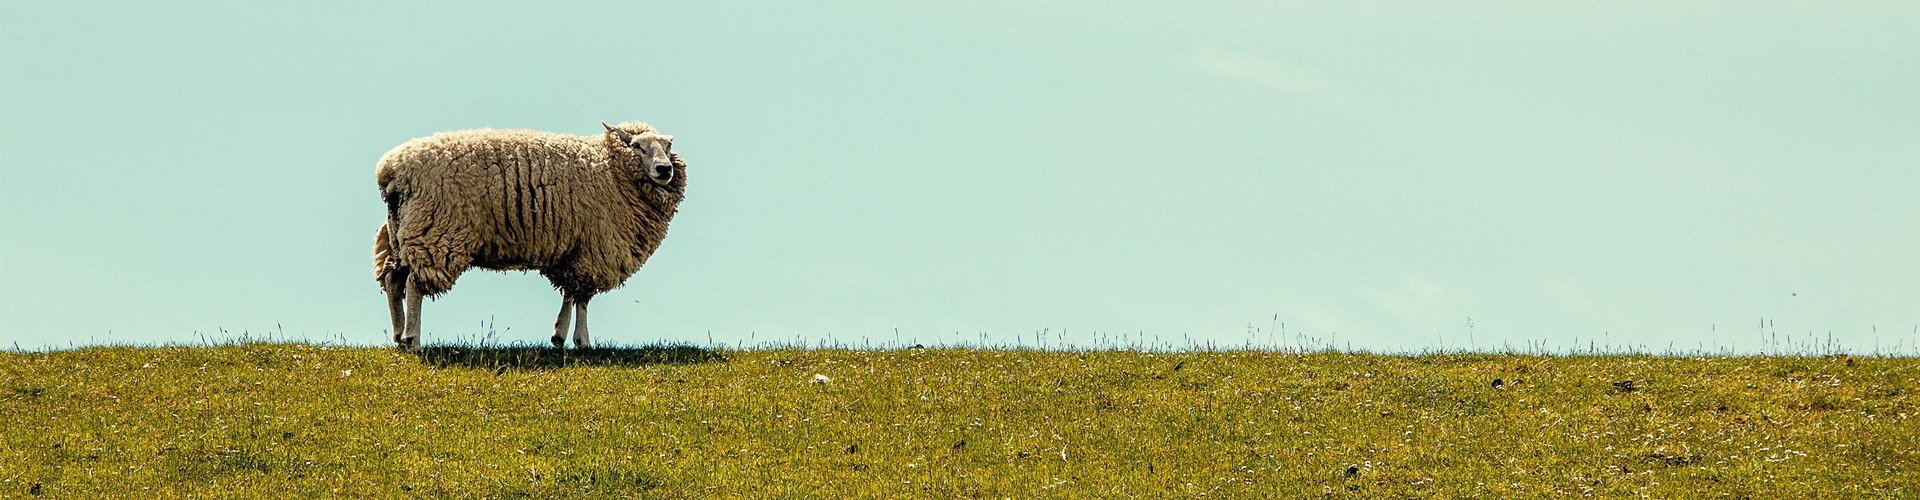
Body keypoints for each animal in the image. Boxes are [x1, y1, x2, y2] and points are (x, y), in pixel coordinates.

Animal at [372, 121, 687, 349]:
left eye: (668, 145)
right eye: (637, 146)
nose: (665, 169)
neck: (610, 168)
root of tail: (391, 170)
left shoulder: (571, 251)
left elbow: (571, 294)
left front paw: (560, 336)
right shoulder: (593, 250)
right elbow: (582, 297)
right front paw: (583, 341)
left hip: (401, 232)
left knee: (393, 280)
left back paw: (399, 335)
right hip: (435, 232)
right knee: (414, 284)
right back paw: (413, 339)